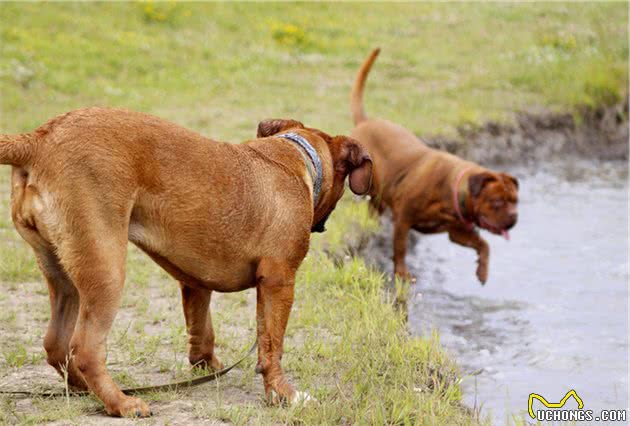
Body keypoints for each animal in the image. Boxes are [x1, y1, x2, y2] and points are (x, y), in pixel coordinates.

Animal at [0, 108, 372, 418]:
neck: (296, 156)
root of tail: (39, 138)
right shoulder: (278, 281)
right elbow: (271, 346)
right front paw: (283, 394)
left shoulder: (195, 282)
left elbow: (201, 328)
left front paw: (207, 366)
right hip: (106, 270)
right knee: (86, 349)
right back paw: (121, 403)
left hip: (64, 276)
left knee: (56, 345)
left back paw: (89, 390)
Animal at [350, 49, 520, 282]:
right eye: (496, 202)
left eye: (516, 202)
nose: (514, 218)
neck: (451, 191)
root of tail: (366, 122)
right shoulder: (403, 220)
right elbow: (400, 248)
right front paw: (402, 272)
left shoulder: (458, 232)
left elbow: (483, 244)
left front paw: (482, 270)